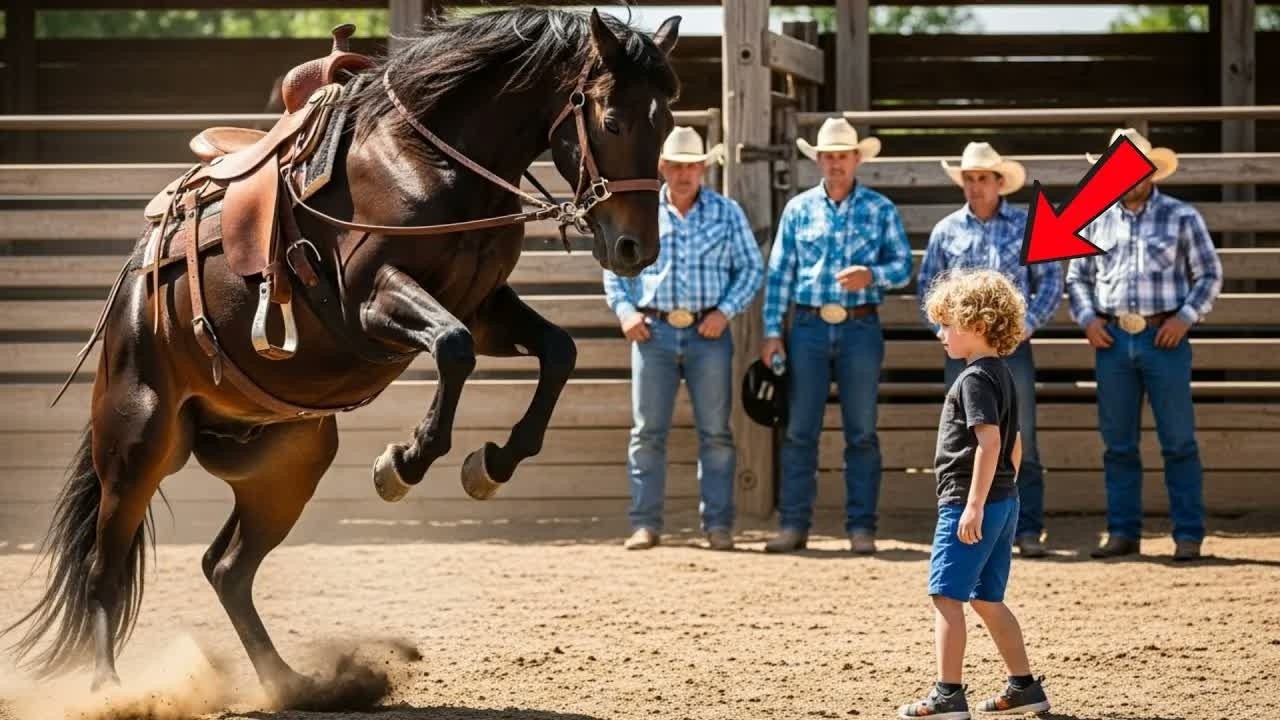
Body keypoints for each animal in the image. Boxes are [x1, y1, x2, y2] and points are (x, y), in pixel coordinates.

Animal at [3, 7, 681, 708]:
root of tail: (132, 296)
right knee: (104, 570)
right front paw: (404, 462)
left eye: (667, 123)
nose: (635, 248)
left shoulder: (484, 305)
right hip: (137, 443)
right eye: (612, 120)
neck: (425, 160)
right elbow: (453, 349)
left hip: (290, 462)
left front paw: (491, 463)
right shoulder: (372, 303)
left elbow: (558, 351)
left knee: (226, 568)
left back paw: (292, 683)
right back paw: (112, 692)